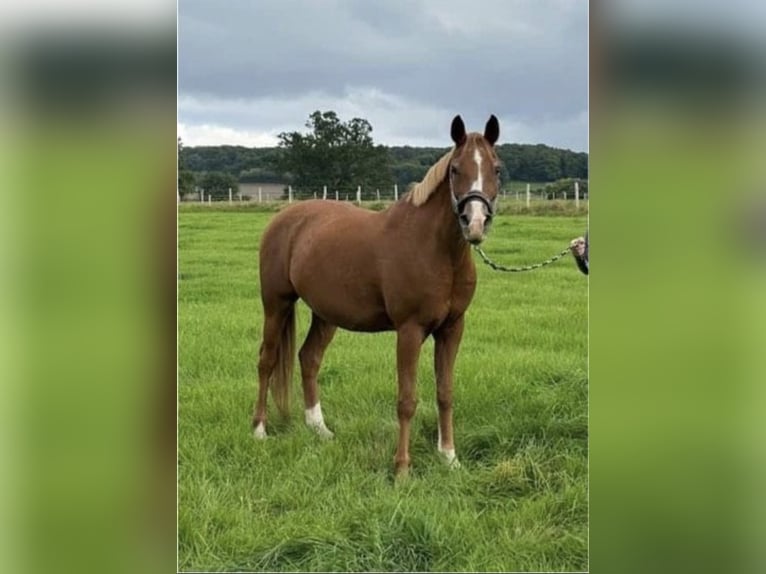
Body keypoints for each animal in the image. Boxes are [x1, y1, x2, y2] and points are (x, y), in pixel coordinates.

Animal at [252, 115, 501, 475]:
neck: (435, 250)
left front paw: (449, 458)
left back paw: (320, 429)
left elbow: (445, 393)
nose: (476, 223)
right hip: (276, 304)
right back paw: (259, 429)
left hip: (325, 315)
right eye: (455, 169)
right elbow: (407, 399)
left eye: (497, 168)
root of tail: (283, 219)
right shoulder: (410, 331)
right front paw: (402, 469)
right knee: (267, 360)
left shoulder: (452, 329)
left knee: (309, 358)